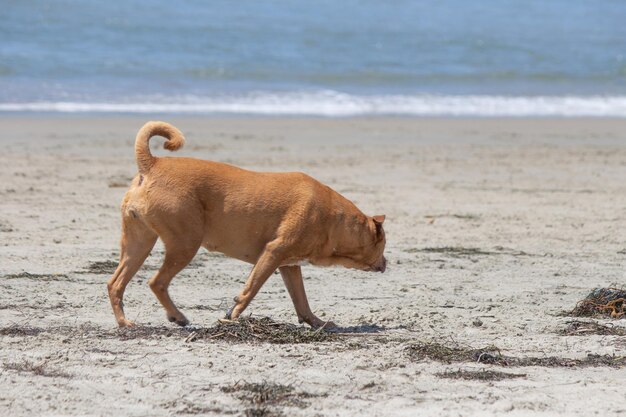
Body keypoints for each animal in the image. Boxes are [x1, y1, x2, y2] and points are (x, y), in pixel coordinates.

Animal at [107, 120, 386, 328]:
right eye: (383, 245)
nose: (386, 263)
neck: (334, 219)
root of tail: (152, 164)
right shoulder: (273, 253)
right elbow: (250, 290)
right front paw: (232, 315)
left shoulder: (288, 265)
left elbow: (302, 302)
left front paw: (318, 323)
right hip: (184, 244)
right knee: (157, 282)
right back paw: (177, 316)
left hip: (139, 244)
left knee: (115, 283)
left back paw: (124, 323)